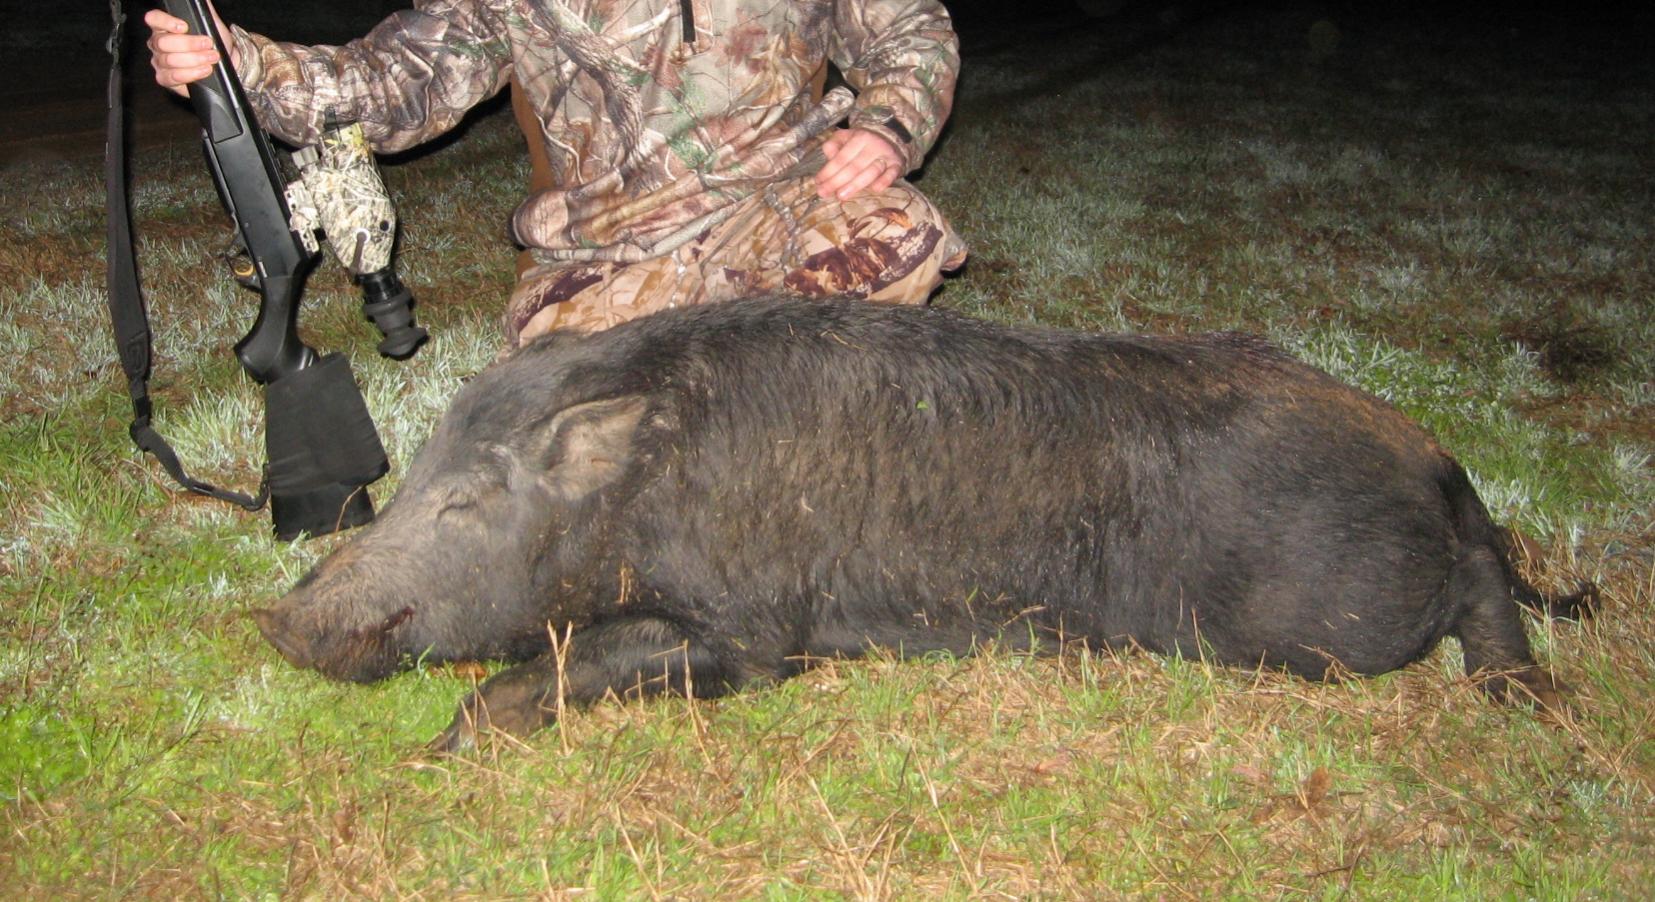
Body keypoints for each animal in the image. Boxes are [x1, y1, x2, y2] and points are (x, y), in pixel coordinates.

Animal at [251, 297, 1589, 751]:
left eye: (463, 497)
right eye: (410, 475)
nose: (275, 619)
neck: (640, 492)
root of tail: (1430, 454)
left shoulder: (756, 633)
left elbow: (571, 660)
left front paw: (441, 746)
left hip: (1327, 614)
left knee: (1480, 580)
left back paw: (1523, 697)